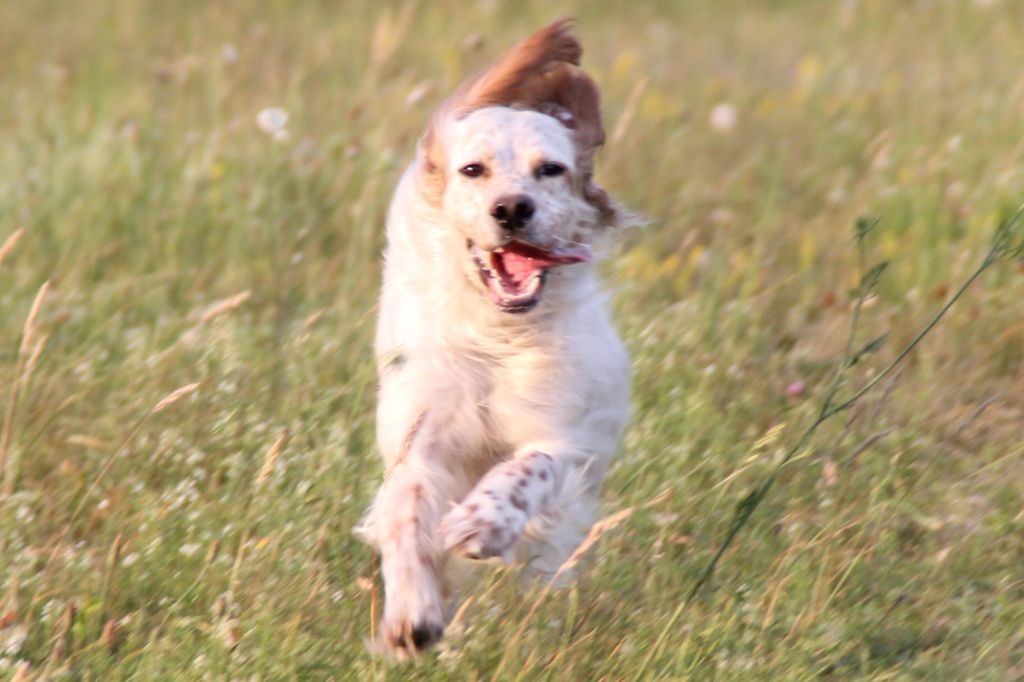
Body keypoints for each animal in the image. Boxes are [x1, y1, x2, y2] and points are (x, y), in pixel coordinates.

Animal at [360, 19, 630, 655]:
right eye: (472, 170)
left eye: (551, 169)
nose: (511, 209)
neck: (498, 338)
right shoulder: (420, 439)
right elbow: (405, 509)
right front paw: (412, 614)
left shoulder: (565, 436)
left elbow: (526, 469)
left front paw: (483, 521)